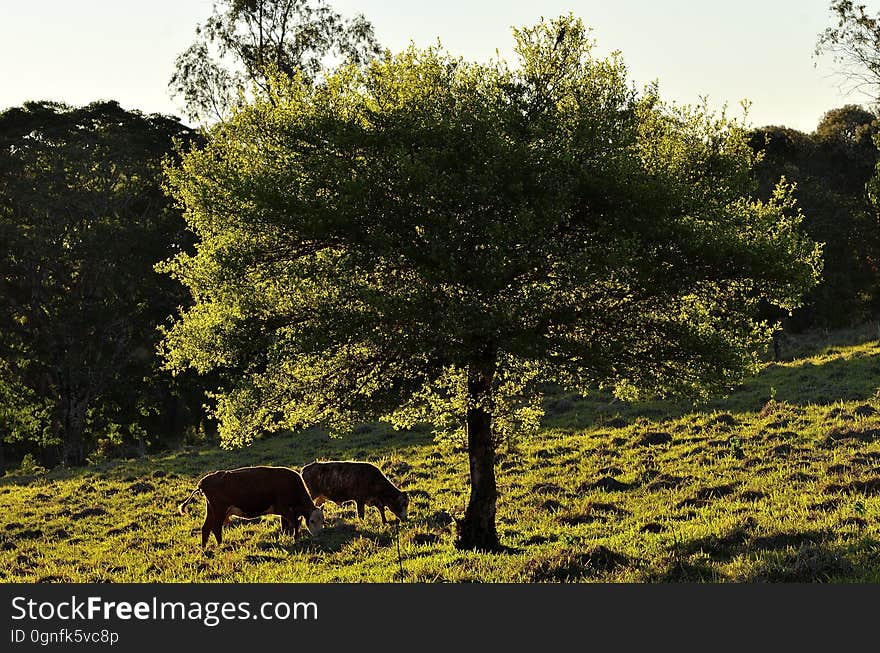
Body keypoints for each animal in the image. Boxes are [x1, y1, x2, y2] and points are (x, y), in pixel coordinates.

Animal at [175, 464, 324, 544]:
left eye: (323, 521)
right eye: (312, 520)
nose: (319, 535)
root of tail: (203, 482)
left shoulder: (286, 511)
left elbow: (286, 524)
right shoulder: (284, 508)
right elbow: (295, 523)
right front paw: (295, 539)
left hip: (211, 509)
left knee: (206, 528)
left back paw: (205, 547)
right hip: (219, 510)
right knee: (216, 527)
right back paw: (220, 545)